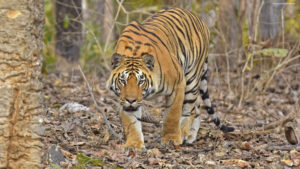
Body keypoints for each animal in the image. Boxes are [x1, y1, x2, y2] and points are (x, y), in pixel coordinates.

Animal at [106, 7, 234, 149]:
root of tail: (199, 19)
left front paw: (171, 139)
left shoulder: (178, 83)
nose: (131, 100)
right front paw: (133, 144)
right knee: (197, 107)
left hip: (192, 78)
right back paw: (191, 135)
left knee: (190, 108)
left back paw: (184, 133)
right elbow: (131, 122)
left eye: (141, 81)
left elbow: (172, 115)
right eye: (123, 81)